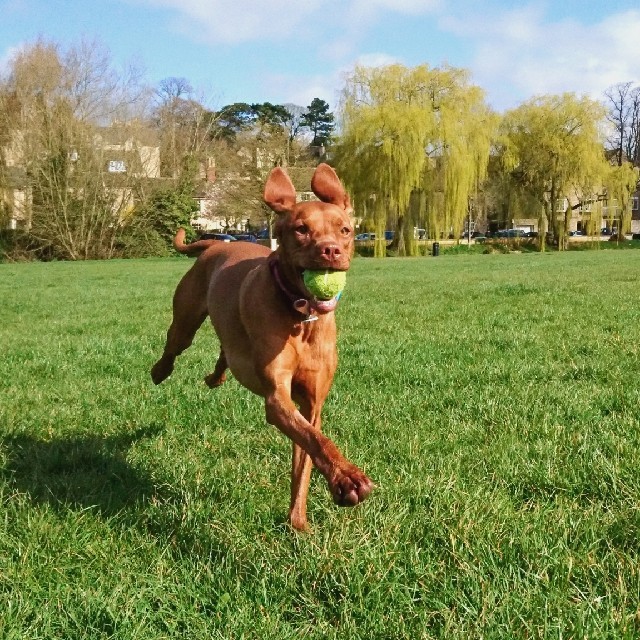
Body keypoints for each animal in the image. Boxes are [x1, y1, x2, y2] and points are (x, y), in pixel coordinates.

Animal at [152, 164, 372, 528]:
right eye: (301, 229)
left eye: (344, 230)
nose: (330, 250)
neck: (300, 317)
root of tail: (215, 245)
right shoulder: (277, 396)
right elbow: (316, 440)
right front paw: (348, 478)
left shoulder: (312, 405)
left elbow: (306, 456)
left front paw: (299, 521)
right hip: (185, 321)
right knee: (175, 345)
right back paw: (160, 371)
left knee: (226, 351)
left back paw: (217, 377)